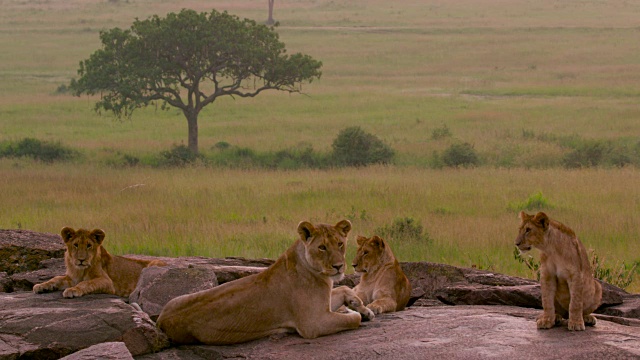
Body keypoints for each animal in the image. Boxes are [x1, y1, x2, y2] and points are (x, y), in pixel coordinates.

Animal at [33, 228, 166, 298]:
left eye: (89, 245)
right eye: (76, 245)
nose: (81, 260)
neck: (80, 270)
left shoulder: (107, 282)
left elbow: (86, 283)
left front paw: (73, 290)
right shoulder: (71, 278)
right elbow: (56, 278)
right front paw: (41, 286)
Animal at [157, 219, 372, 346]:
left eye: (340, 244)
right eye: (322, 247)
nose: (339, 266)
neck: (320, 274)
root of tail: (160, 319)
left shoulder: (323, 305)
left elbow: (344, 288)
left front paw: (361, 307)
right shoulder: (313, 323)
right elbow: (352, 319)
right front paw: (351, 312)